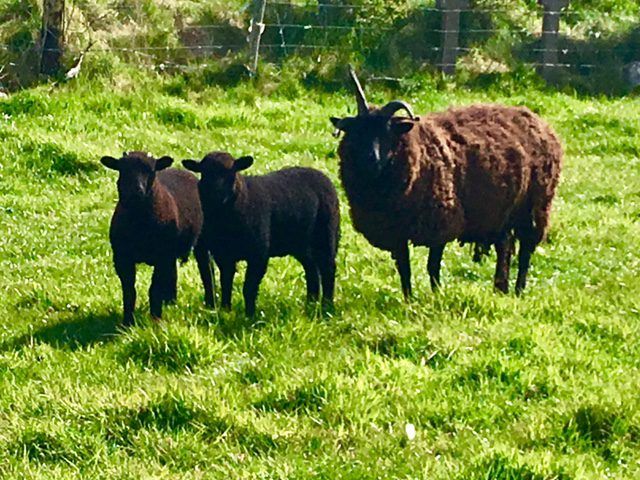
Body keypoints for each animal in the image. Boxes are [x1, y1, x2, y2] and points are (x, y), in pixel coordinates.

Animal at [101, 151, 215, 326]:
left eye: (151, 170)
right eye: (122, 169)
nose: (136, 190)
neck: (139, 223)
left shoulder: (162, 256)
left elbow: (154, 289)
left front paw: (156, 320)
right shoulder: (122, 258)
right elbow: (129, 291)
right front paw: (127, 323)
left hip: (201, 239)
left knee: (206, 269)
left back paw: (210, 303)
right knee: (173, 272)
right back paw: (170, 301)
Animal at [182, 152, 340, 316]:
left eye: (231, 172)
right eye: (204, 173)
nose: (216, 196)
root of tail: (320, 174)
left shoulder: (259, 252)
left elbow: (249, 287)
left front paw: (250, 316)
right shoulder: (223, 254)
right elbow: (225, 281)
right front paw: (226, 309)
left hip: (326, 233)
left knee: (328, 269)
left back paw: (327, 307)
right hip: (301, 243)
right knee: (312, 269)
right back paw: (310, 303)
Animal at [330, 68, 562, 297]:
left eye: (388, 132)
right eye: (357, 131)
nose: (371, 158)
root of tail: (539, 122)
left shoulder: (441, 223)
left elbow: (432, 266)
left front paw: (436, 295)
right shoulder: (396, 231)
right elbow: (404, 268)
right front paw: (408, 298)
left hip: (535, 208)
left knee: (525, 253)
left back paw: (519, 290)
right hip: (502, 212)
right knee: (504, 247)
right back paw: (500, 288)